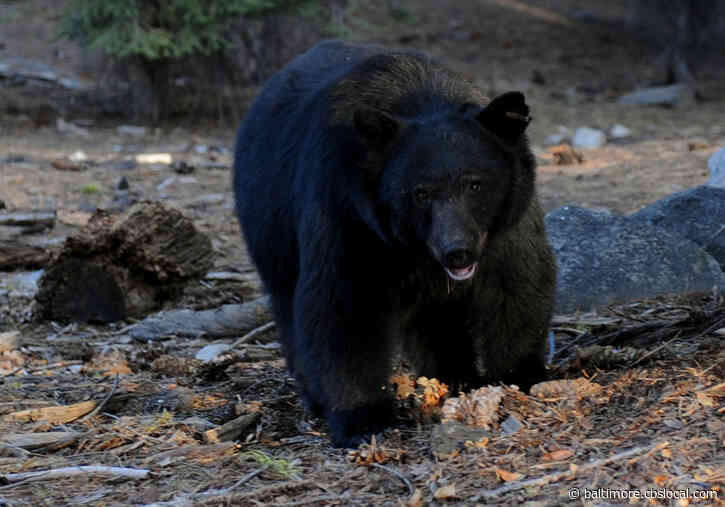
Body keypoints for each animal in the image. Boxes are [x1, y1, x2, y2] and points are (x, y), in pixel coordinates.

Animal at [234, 40, 557, 447]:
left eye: (475, 184)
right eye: (420, 193)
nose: (457, 251)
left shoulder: (506, 226)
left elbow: (517, 284)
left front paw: (520, 375)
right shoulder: (349, 213)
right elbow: (344, 305)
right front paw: (363, 418)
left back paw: (454, 375)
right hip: (271, 230)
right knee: (288, 308)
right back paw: (316, 397)